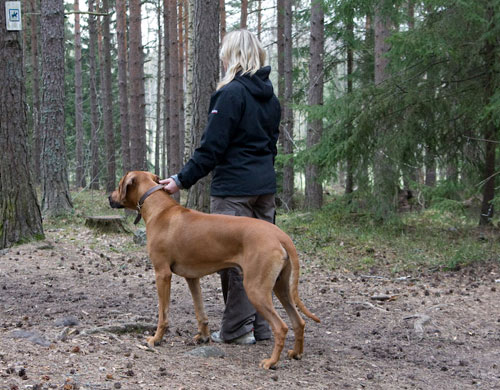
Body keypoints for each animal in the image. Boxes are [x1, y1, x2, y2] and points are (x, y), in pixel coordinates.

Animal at [109, 171, 320, 368]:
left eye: (119, 185)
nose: (109, 197)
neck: (159, 208)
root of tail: (280, 235)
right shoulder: (192, 277)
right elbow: (200, 311)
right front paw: (203, 336)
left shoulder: (162, 273)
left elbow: (163, 314)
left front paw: (156, 339)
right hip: (280, 286)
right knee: (298, 322)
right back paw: (296, 353)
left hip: (256, 289)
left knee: (281, 327)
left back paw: (271, 362)